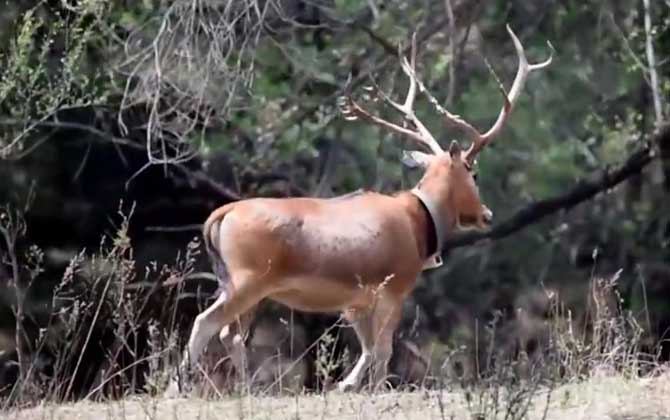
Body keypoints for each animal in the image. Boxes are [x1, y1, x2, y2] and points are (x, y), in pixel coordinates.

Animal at [167, 24, 552, 396]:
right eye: (474, 173)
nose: (486, 214)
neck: (420, 223)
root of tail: (219, 216)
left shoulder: (355, 299)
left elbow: (367, 348)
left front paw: (346, 384)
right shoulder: (394, 285)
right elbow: (383, 350)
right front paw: (376, 388)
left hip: (234, 281)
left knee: (230, 333)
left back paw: (244, 386)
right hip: (249, 278)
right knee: (207, 323)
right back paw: (180, 386)